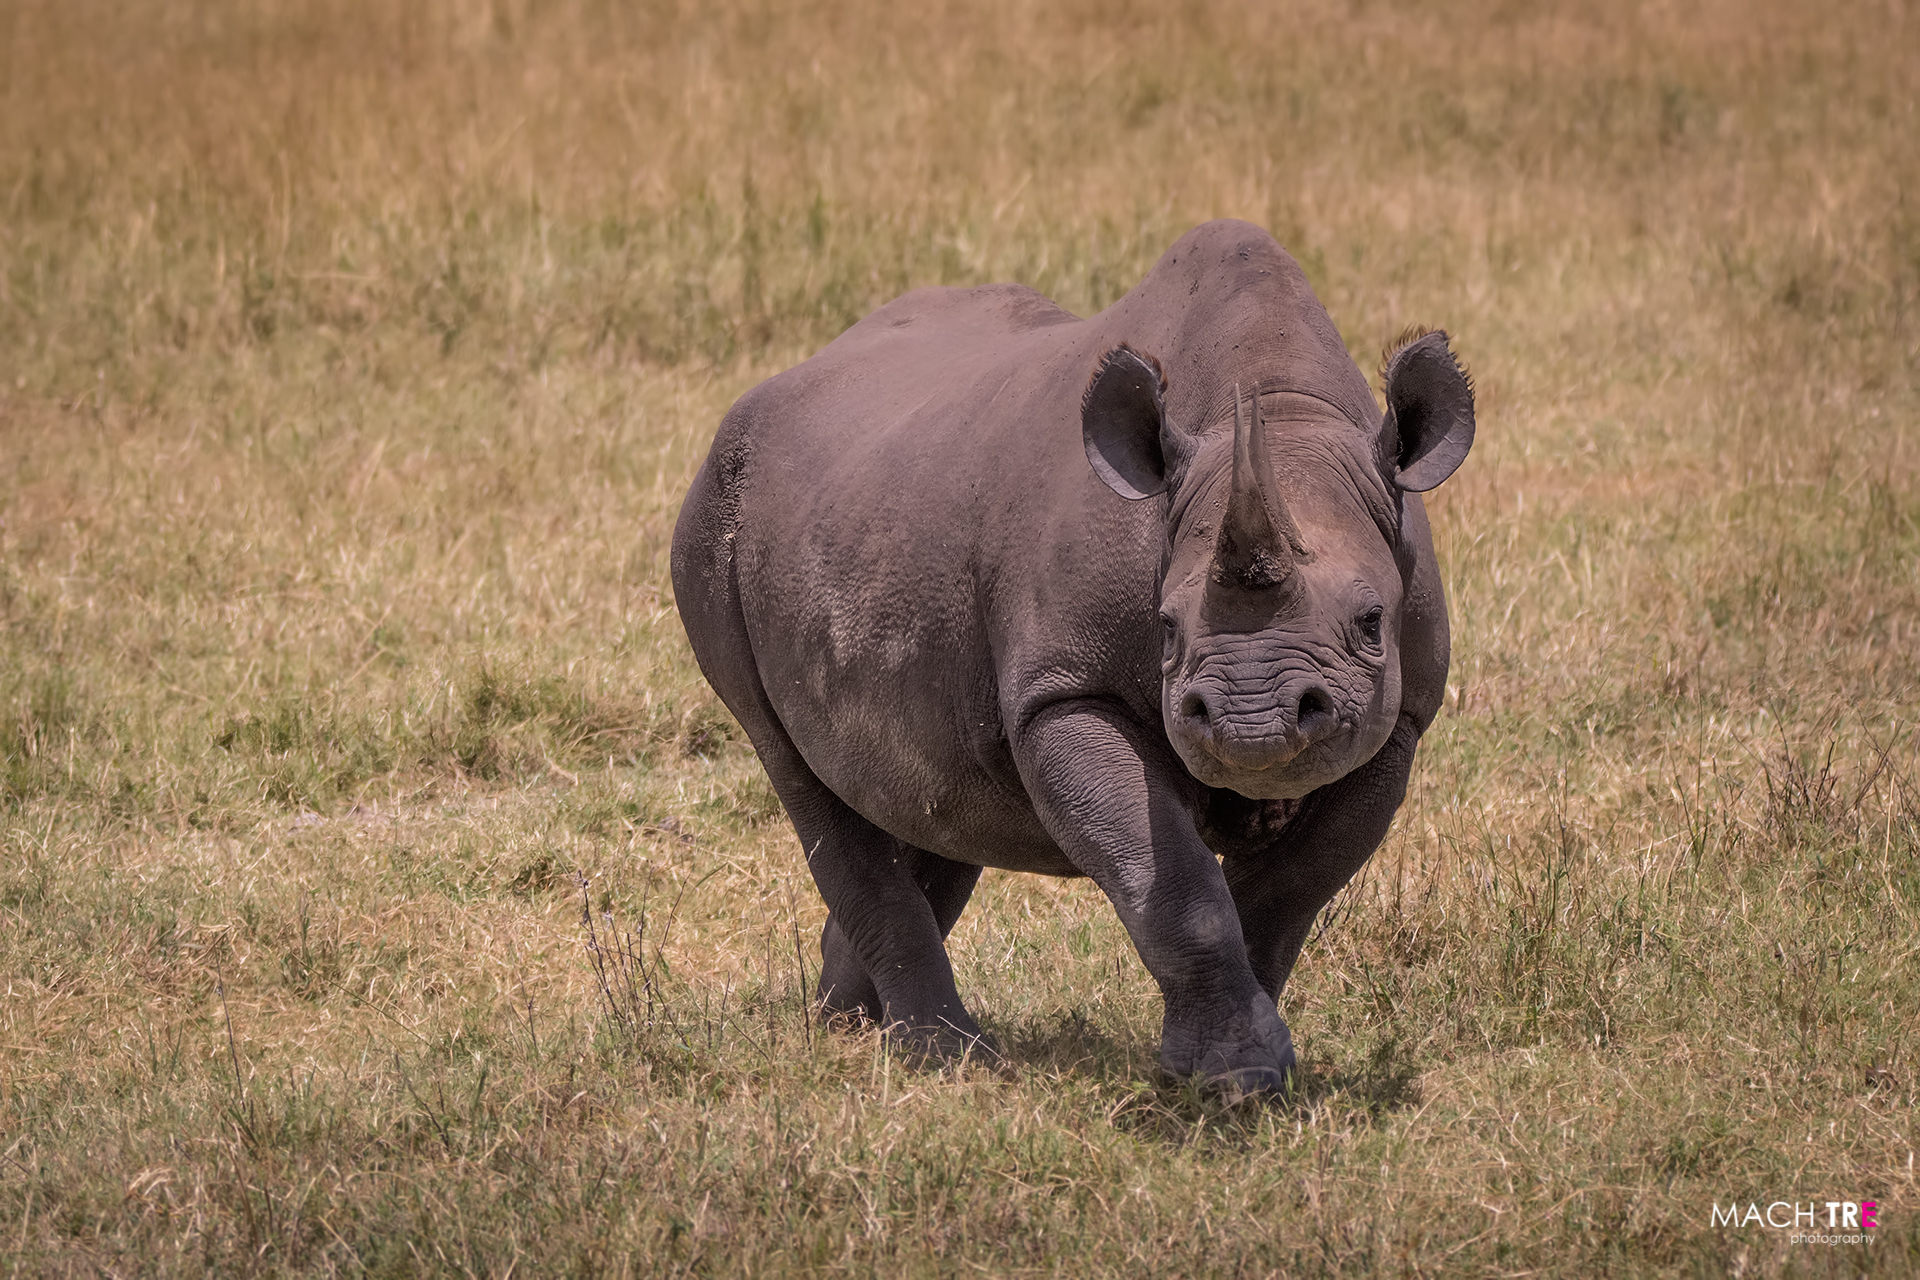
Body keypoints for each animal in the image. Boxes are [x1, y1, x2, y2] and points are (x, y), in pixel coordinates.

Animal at [671, 219, 1473, 1097]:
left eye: (1370, 622)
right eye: (1164, 630)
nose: (1251, 723)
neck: (1279, 412)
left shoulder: (1402, 718)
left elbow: (1284, 893)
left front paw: (1244, 1077)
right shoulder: (1063, 690)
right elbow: (1178, 884)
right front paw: (1227, 1078)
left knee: (929, 791)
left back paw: (848, 1026)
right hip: (710, 520)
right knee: (794, 767)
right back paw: (946, 1058)